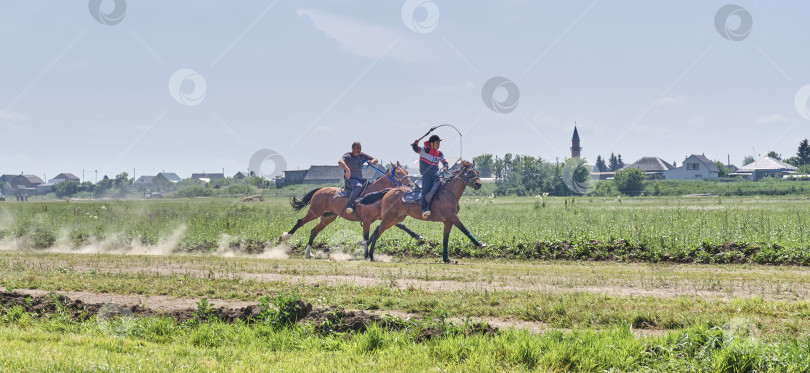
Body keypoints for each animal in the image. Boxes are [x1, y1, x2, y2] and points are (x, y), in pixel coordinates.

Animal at [278, 161, 422, 258]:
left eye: (407, 172)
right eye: (398, 172)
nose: (411, 185)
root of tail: (320, 189)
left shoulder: (385, 216)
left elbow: (401, 225)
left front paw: (417, 236)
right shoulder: (367, 221)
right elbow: (366, 236)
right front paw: (366, 255)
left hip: (328, 217)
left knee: (314, 231)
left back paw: (309, 253)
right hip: (315, 212)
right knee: (300, 222)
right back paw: (285, 237)